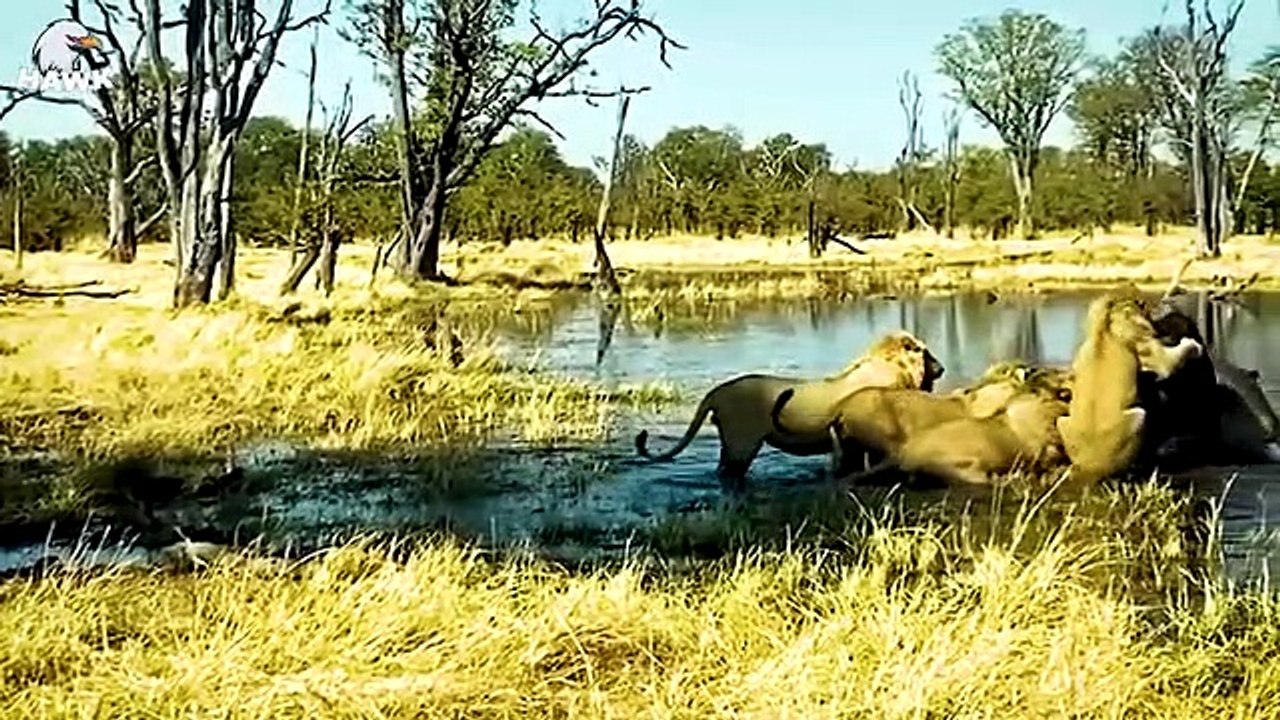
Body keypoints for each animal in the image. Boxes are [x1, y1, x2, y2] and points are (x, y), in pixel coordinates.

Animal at [633, 330, 945, 487]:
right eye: (926, 352)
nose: (942, 368)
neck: (893, 370)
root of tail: (717, 391)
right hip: (742, 444)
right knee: (730, 474)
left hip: (731, 445)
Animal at [1056, 290, 1203, 484]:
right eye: (1142, 304)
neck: (1107, 321)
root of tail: (1092, 467)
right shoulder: (1154, 353)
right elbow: (1176, 356)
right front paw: (1194, 346)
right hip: (1140, 416)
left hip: (1061, 421)